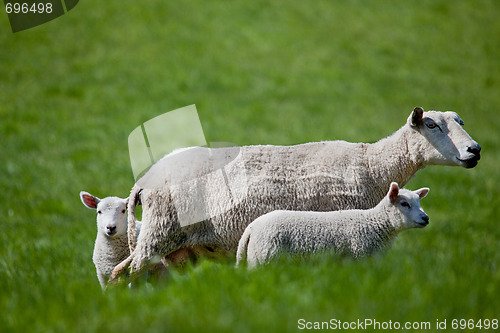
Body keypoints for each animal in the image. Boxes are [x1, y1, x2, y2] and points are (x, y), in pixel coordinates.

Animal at [237, 182, 430, 268]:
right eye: (404, 203)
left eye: (419, 202)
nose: (426, 218)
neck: (374, 223)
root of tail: (251, 228)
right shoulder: (359, 256)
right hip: (264, 258)